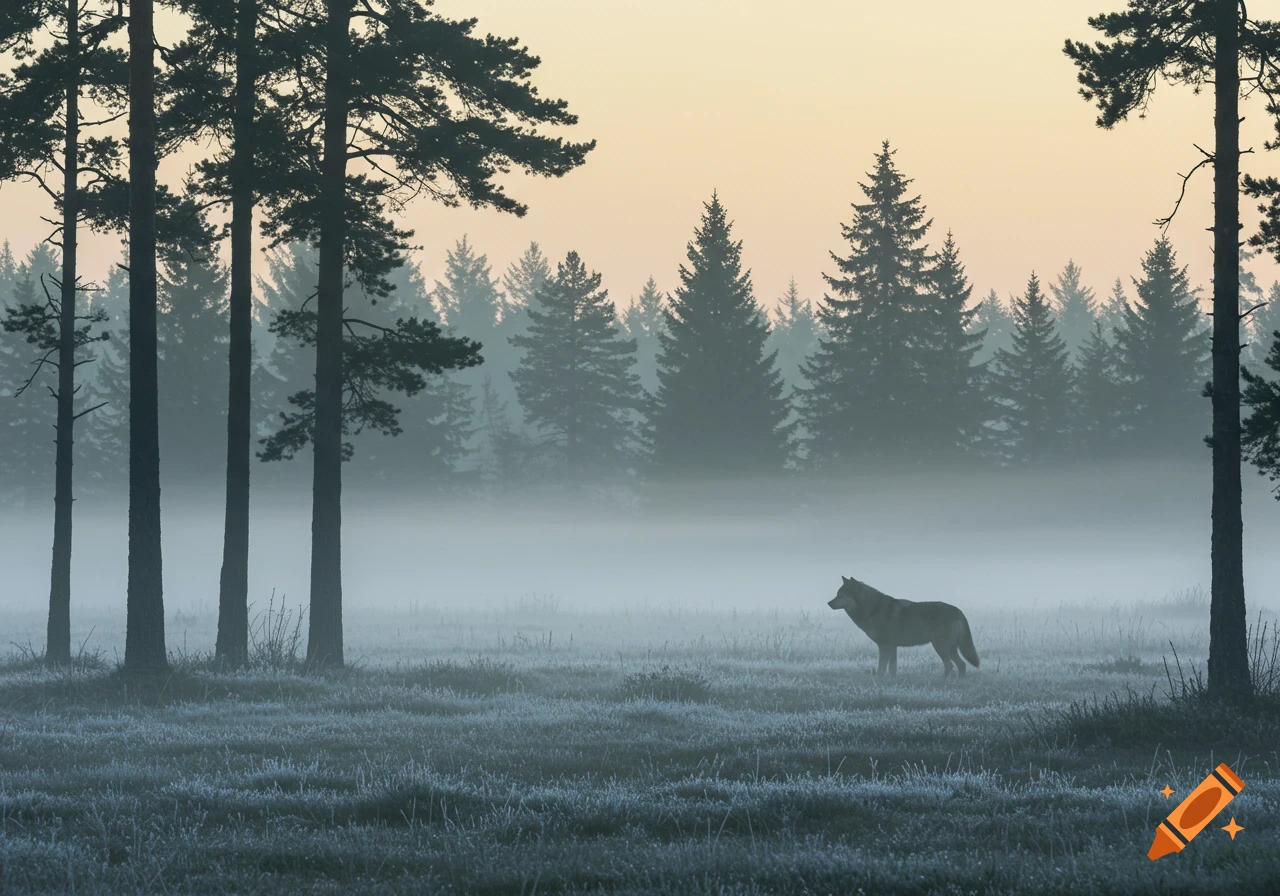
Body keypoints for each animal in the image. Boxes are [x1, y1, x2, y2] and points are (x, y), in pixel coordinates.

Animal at [827, 576, 980, 677]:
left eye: (841, 595)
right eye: (837, 594)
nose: (828, 603)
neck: (872, 609)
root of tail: (958, 610)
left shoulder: (884, 646)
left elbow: (881, 669)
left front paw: (879, 683)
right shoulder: (892, 646)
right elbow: (892, 670)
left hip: (941, 647)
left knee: (951, 665)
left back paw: (941, 682)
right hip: (949, 648)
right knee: (961, 665)